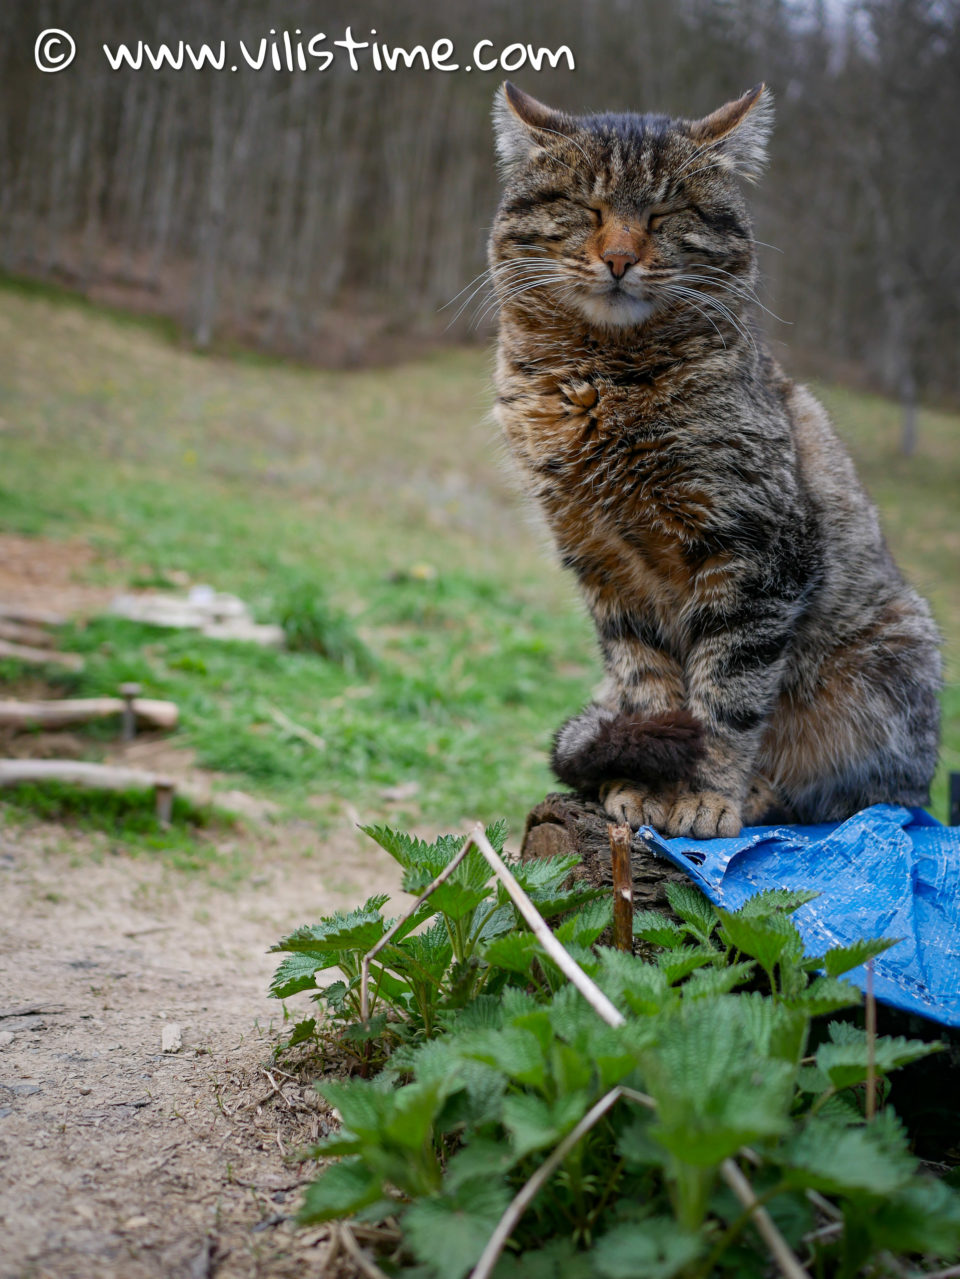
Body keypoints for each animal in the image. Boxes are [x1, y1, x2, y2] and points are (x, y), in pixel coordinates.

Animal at [490, 82, 940, 839]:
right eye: (588, 209)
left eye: (665, 214)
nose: (619, 257)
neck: (604, 380)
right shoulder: (605, 566)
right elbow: (648, 686)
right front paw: (646, 781)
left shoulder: (756, 556)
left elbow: (726, 697)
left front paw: (704, 793)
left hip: (891, 672)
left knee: (861, 797)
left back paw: (761, 793)